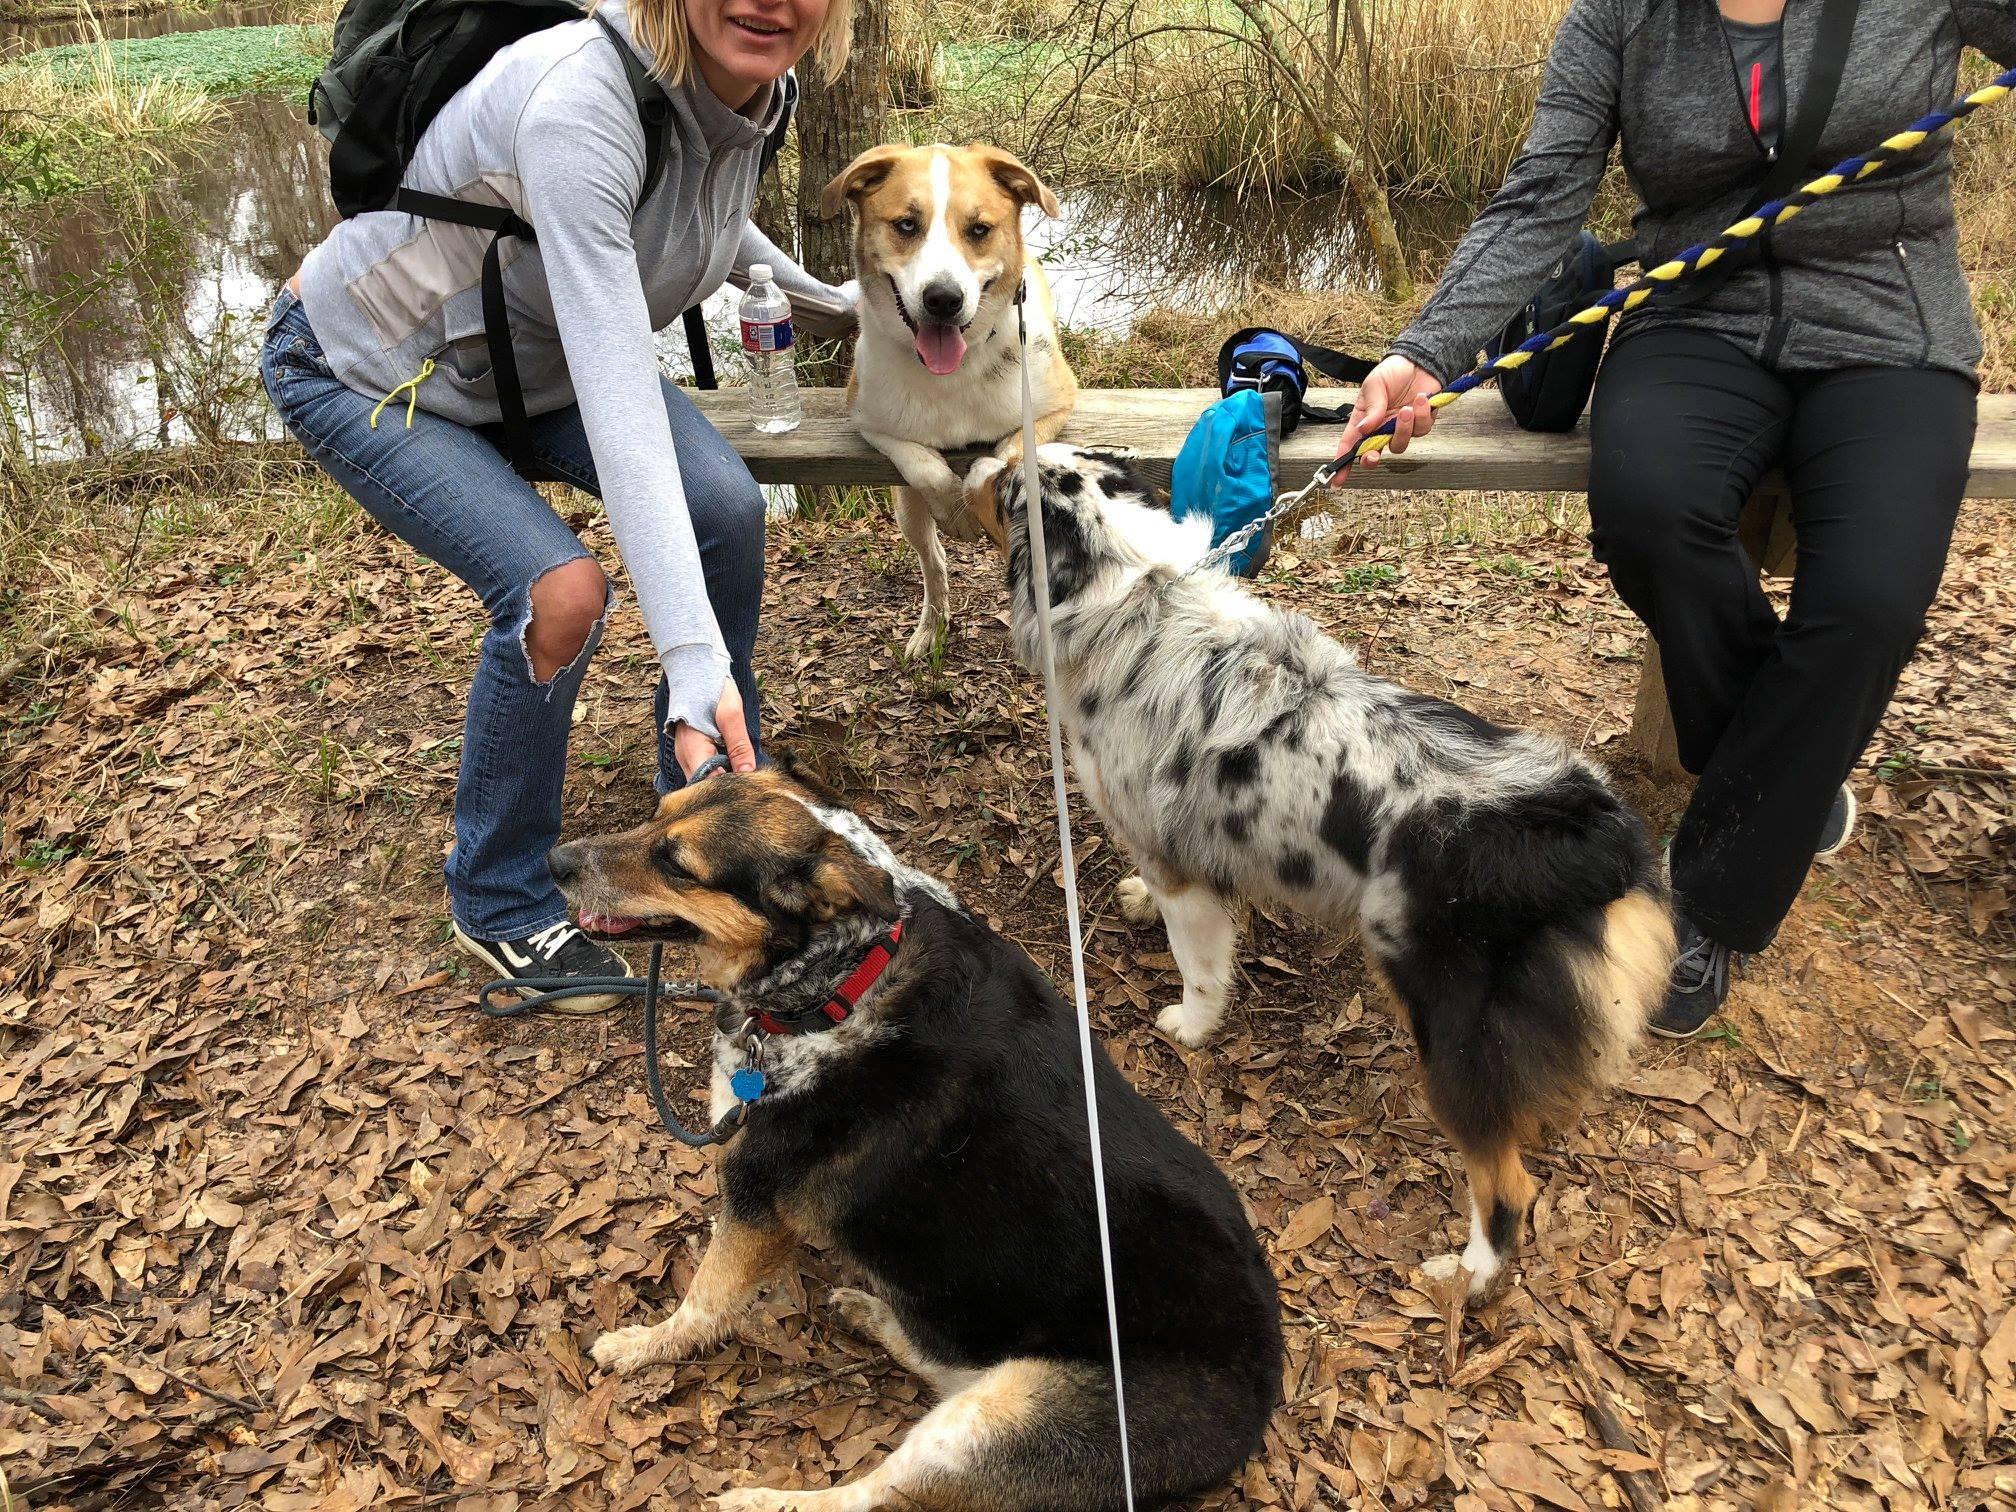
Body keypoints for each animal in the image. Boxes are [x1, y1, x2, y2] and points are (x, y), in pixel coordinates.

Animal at [544, 770, 1282, 1512]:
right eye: (656, 812)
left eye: (677, 864)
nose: (554, 861)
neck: (844, 980)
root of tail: (1259, 1414)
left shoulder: (756, 1204)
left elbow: (703, 1302)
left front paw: (645, 1346)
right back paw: (871, 1315)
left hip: (1000, 1416)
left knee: (875, 1497)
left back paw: (760, 1500)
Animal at [818, 145, 1080, 661]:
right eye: (906, 225)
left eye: (979, 229)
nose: (943, 299)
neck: (954, 372)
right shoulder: (869, 422)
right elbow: (925, 466)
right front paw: (955, 513)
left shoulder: (1055, 406)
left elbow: (1007, 454)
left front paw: (982, 484)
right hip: (906, 511)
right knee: (933, 562)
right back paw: (931, 625)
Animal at [967, 447, 1677, 1306]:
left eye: (1004, 484)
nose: (967, 458)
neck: (1134, 596)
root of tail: (1594, 828)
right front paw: (1134, 900)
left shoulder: (1189, 878)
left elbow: (1200, 966)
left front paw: (1190, 1027)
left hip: (1449, 1023)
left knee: (1507, 1183)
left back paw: (1467, 1274)